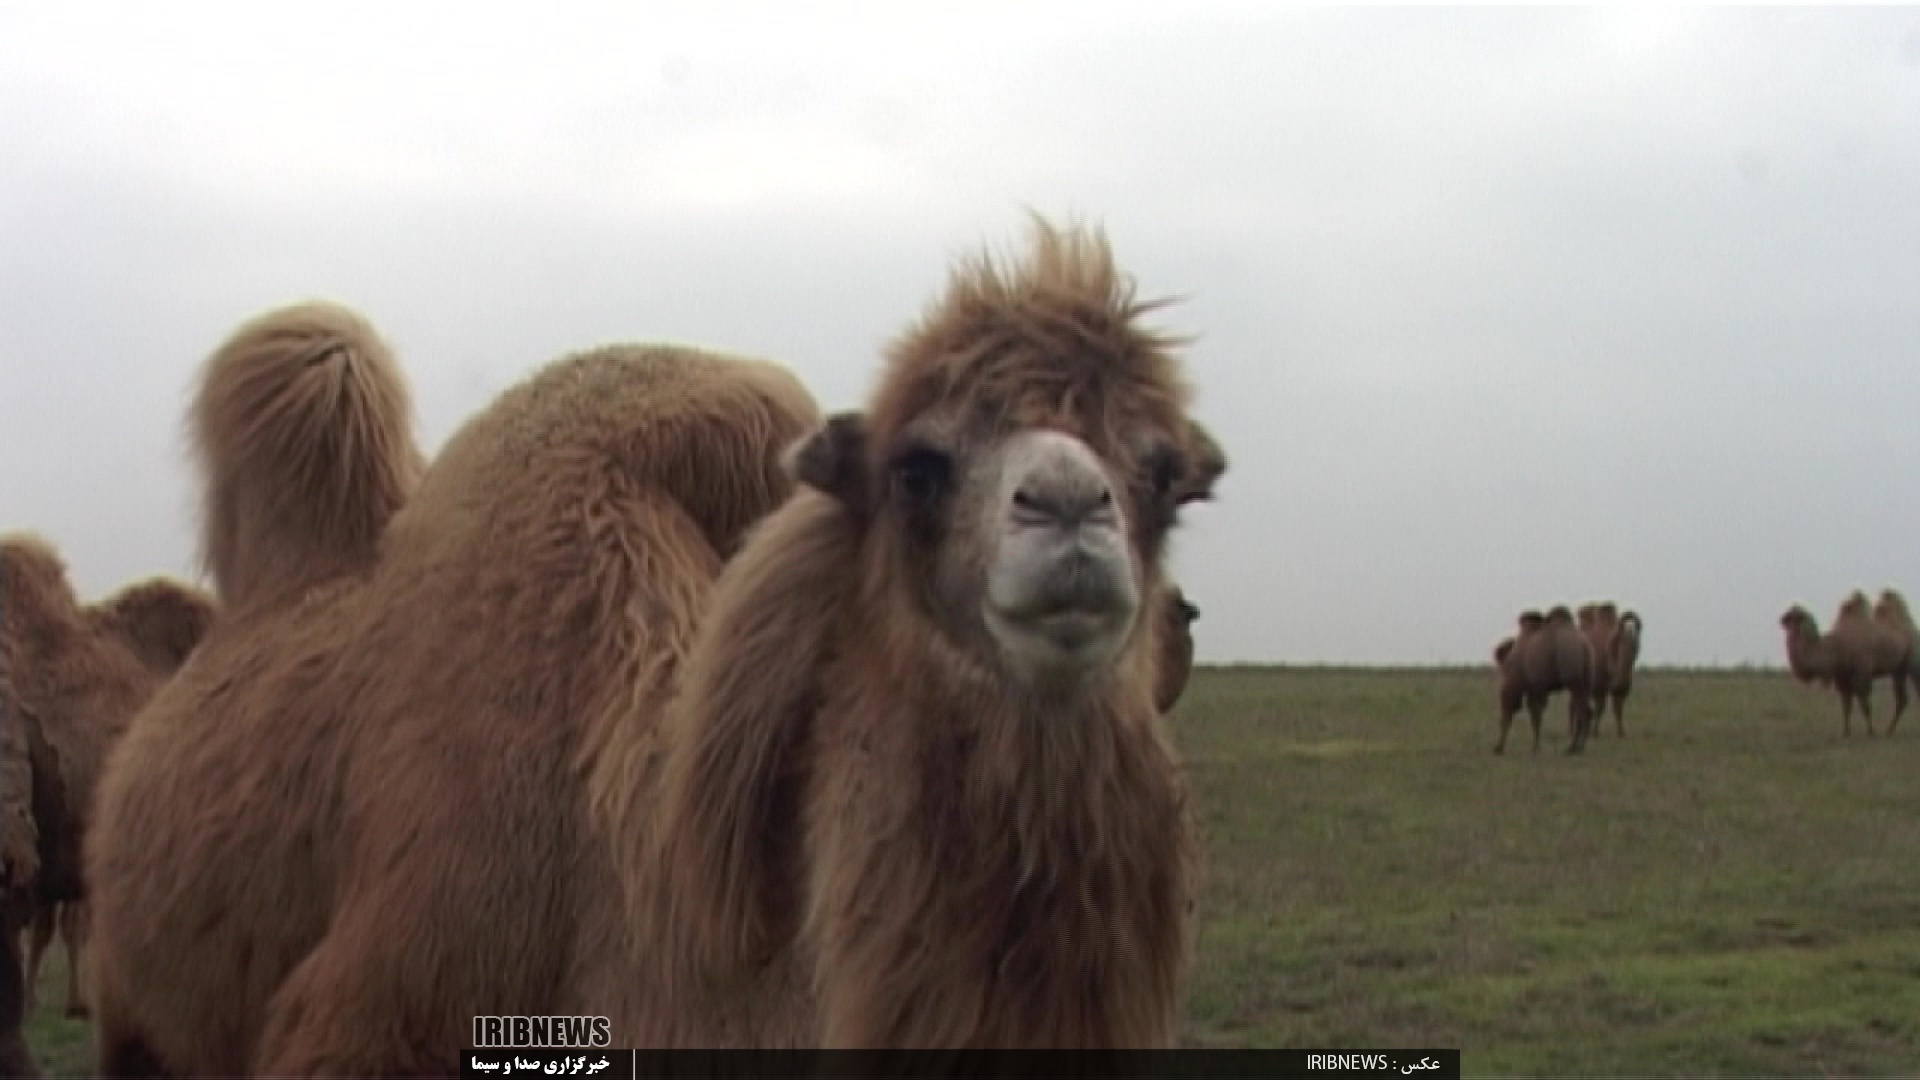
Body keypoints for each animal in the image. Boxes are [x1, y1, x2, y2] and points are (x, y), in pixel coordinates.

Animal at [1492, 606, 1596, 755]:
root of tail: (1584, 646)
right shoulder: (1535, 688)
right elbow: (1535, 715)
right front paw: (1536, 747)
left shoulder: (1519, 685)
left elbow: (1513, 713)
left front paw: (1500, 748)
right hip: (1587, 679)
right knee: (1586, 710)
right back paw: (1576, 747)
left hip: (1574, 679)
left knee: (1582, 711)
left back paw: (1574, 747)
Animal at [1780, 590, 1916, 737]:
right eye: (1789, 616)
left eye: (1800, 616)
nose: (1784, 619)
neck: (1836, 648)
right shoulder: (1842, 677)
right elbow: (1846, 707)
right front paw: (1845, 733)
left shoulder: (1862, 674)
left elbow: (1865, 705)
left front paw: (1871, 732)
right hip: (1898, 669)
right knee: (1902, 699)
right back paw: (1889, 730)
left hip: (1912, 661)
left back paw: (1889, 730)